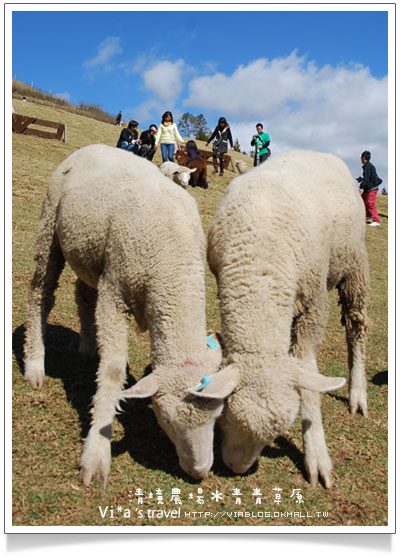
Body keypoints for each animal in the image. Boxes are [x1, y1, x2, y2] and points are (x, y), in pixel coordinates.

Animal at [24, 144, 225, 486]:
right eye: (165, 418)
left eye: (217, 414)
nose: (199, 472)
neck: (173, 265)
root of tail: (93, 147)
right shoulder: (115, 291)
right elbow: (114, 371)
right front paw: (96, 452)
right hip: (49, 225)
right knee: (42, 293)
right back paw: (35, 365)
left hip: (90, 253)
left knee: (83, 295)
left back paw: (87, 348)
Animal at [192, 150, 370, 488]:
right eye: (225, 417)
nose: (237, 469)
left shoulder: (314, 305)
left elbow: (309, 379)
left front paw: (317, 454)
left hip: (354, 266)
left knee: (356, 330)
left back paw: (358, 393)